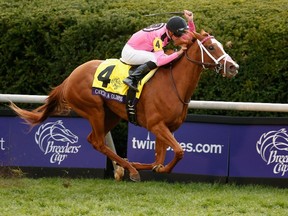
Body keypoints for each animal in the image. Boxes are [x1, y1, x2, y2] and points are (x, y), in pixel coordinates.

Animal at [9, 30, 238, 181]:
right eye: (211, 47)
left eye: (221, 45)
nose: (233, 67)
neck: (174, 84)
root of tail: (69, 78)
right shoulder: (156, 125)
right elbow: (179, 151)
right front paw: (136, 166)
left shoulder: (165, 128)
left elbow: (159, 159)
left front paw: (149, 167)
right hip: (94, 110)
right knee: (98, 142)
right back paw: (129, 170)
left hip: (111, 114)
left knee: (93, 139)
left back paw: (124, 167)